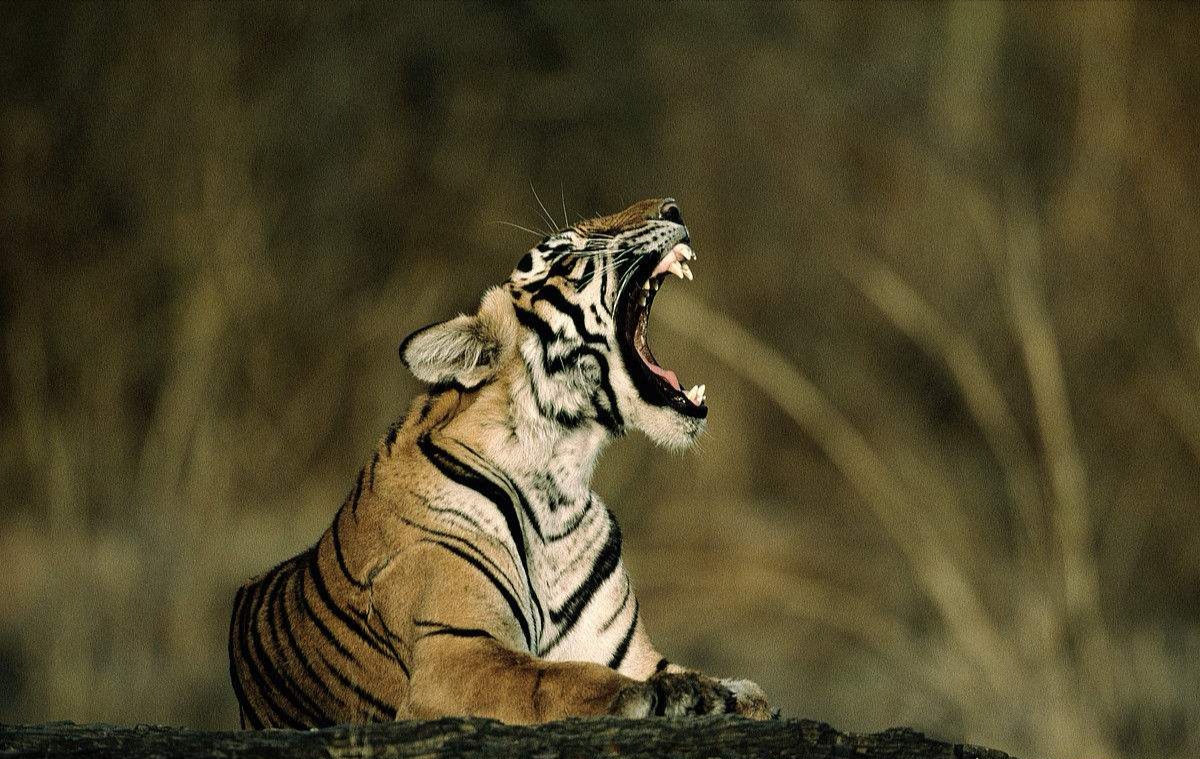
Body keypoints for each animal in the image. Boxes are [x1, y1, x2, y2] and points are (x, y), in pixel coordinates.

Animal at [228, 198, 772, 725]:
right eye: (566, 256)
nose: (673, 209)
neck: (560, 478)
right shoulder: (452, 652)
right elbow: (557, 678)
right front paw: (675, 693)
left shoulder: (626, 651)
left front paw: (731, 691)